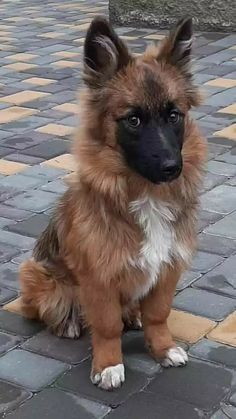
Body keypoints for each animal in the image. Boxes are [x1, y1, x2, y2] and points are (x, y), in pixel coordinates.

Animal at [18, 15, 206, 390]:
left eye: (174, 116)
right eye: (133, 119)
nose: (172, 168)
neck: (146, 195)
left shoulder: (168, 268)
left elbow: (158, 315)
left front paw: (162, 348)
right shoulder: (99, 278)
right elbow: (106, 326)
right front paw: (108, 365)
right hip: (37, 273)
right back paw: (69, 323)